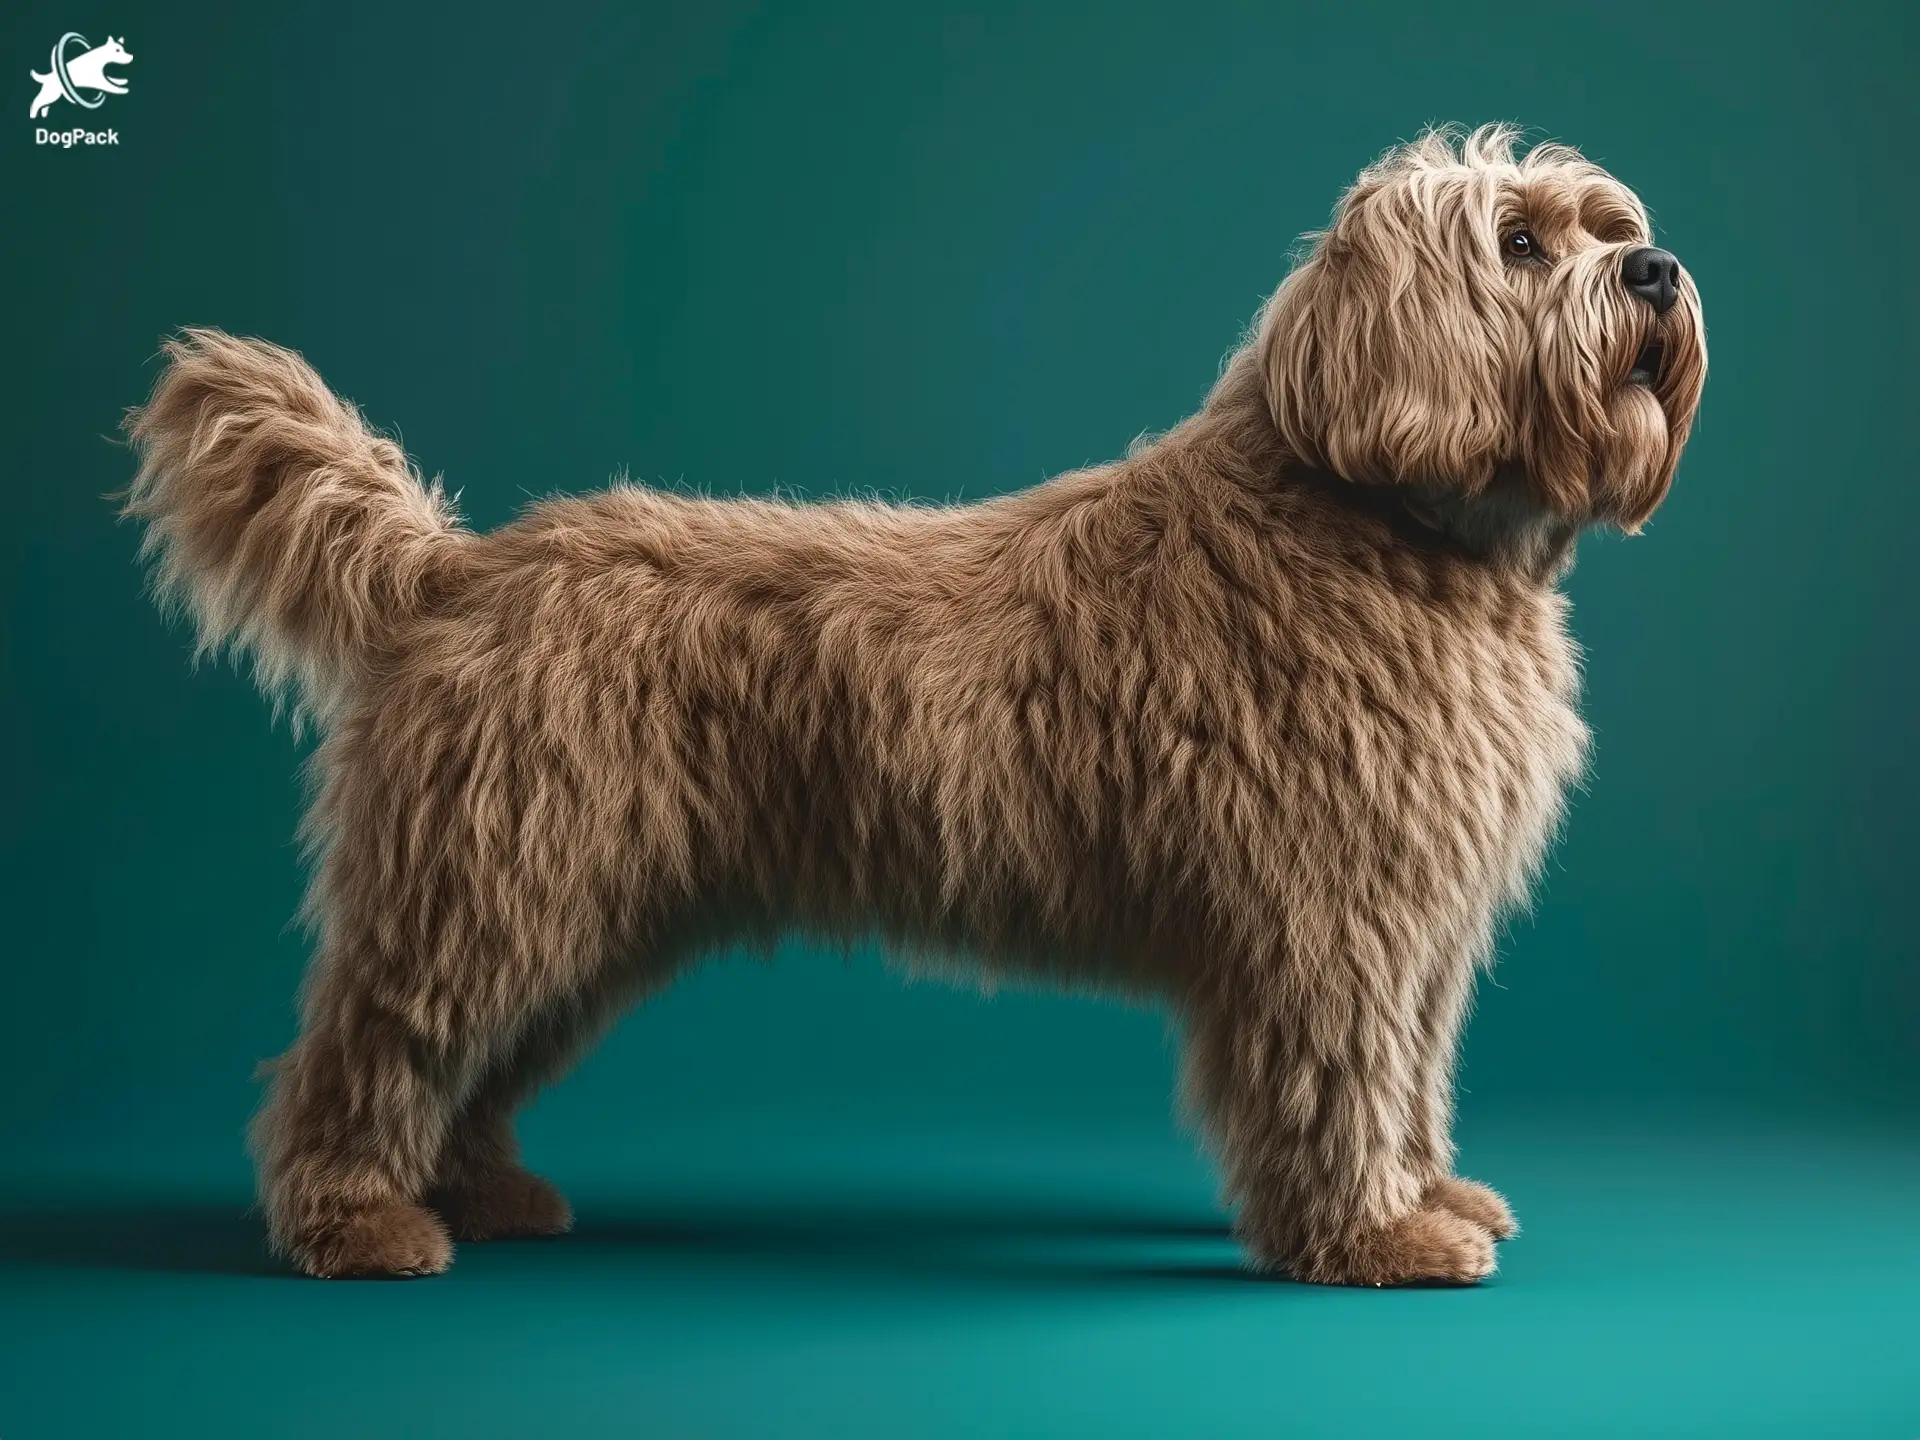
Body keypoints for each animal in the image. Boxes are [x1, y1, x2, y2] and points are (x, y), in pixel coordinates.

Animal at [123, 126, 1712, 1282]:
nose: (1656, 271)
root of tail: (457, 569)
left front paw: (1434, 1193)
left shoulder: (1422, 927)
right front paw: (1377, 1236)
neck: (1385, 517)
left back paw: (484, 1192)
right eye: (1520, 242)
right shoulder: (1332, 923)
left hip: (569, 903)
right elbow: (1345, 1082)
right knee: (364, 1048)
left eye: (1606, 224)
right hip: (490, 884)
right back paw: (356, 1224)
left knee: (463, 1061)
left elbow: (1415, 1077)